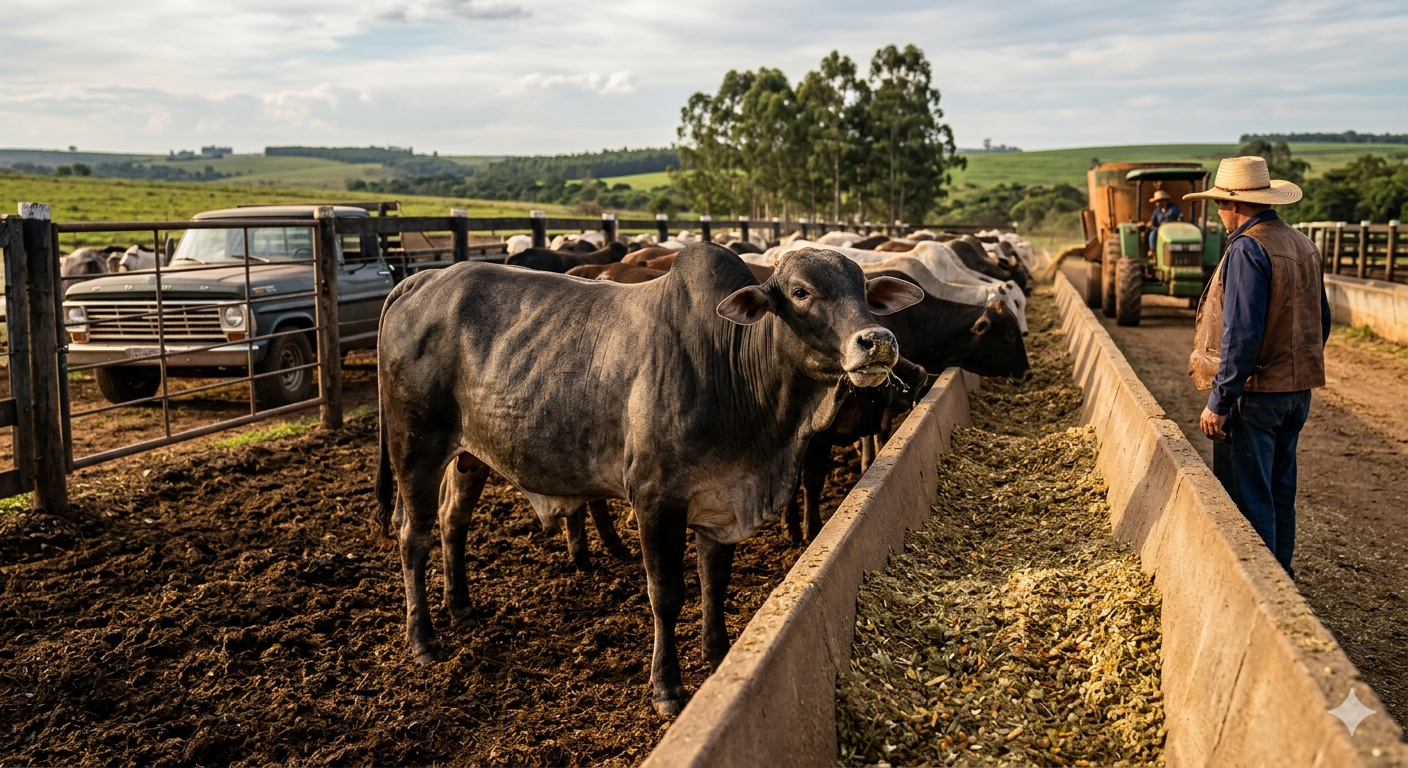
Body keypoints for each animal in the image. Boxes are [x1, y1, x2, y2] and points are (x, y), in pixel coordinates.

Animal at [375, 243, 923, 714]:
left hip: (470, 456)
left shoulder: (719, 497)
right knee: (413, 536)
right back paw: (423, 639)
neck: (733, 369)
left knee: (453, 520)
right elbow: (667, 593)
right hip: (415, 449)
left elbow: (713, 581)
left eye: (864, 290)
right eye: (802, 291)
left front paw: (718, 653)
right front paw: (667, 688)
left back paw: (461, 606)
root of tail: (420, 279)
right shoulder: (656, 500)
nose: (878, 341)